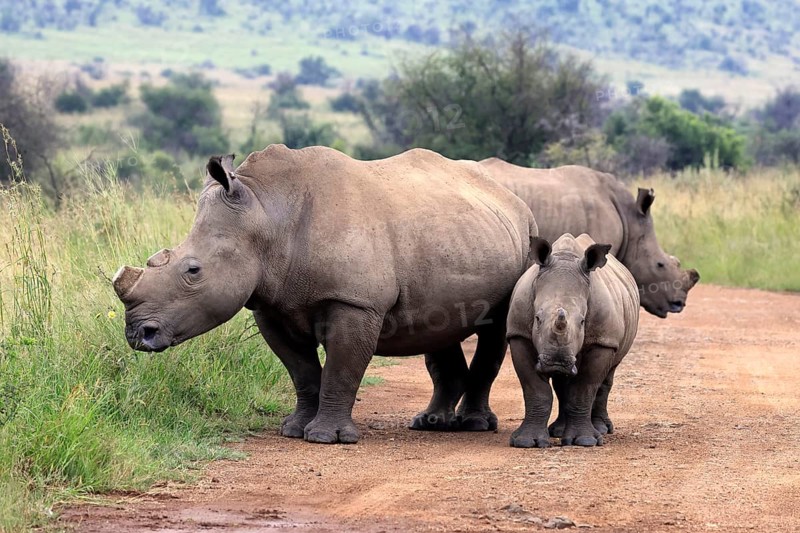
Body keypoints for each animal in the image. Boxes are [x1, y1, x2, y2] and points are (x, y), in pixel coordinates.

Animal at [113, 145, 537, 444]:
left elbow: (341, 369)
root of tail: (512, 198)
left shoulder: (355, 302)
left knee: (494, 329)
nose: (138, 333)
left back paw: (474, 426)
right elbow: (301, 371)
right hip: (456, 236)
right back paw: (430, 423)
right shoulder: (270, 303)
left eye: (193, 271)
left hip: (524, 239)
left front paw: (324, 438)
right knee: (437, 324)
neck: (268, 212)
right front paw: (293, 430)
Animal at [507, 233, 640, 448]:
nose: (557, 362)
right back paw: (559, 430)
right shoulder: (518, 334)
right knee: (563, 384)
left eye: (583, 321)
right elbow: (535, 389)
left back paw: (602, 429)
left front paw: (585, 441)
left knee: (607, 375)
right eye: (537, 318)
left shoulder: (603, 341)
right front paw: (526, 442)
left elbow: (584, 389)